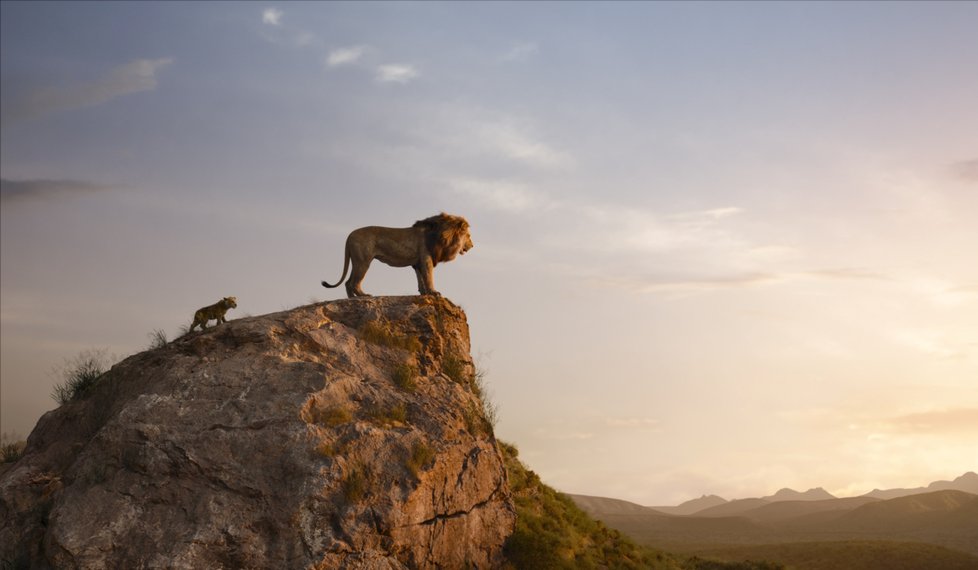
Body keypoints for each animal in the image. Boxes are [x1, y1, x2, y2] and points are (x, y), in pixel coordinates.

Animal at [320, 211, 472, 296]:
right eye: (469, 236)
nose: (472, 245)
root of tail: (349, 235)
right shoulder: (426, 258)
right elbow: (429, 277)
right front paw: (434, 292)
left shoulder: (418, 263)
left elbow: (421, 279)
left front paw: (424, 294)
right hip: (364, 261)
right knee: (354, 283)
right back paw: (364, 296)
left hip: (356, 260)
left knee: (347, 283)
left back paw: (352, 299)